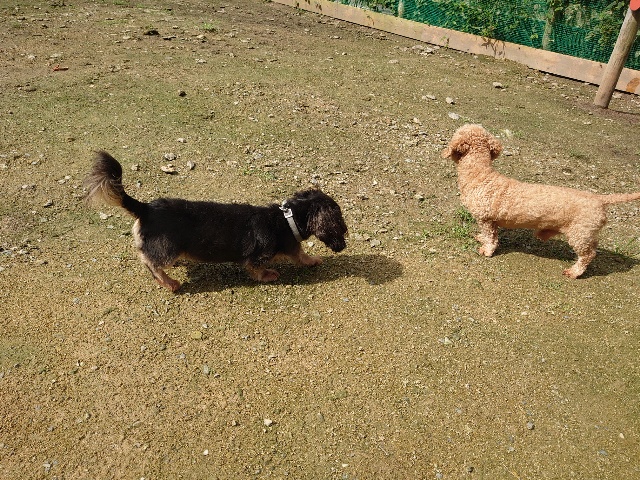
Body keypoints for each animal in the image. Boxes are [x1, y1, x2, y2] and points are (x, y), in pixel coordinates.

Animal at [84, 151, 348, 291]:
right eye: (341, 228)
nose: (344, 246)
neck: (286, 219)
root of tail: (146, 208)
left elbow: (300, 253)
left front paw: (312, 260)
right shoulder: (257, 257)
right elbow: (261, 267)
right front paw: (269, 275)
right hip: (166, 249)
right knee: (151, 263)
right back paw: (170, 282)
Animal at [442, 124, 640, 278]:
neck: (480, 174)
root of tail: (600, 198)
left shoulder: (486, 219)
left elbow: (491, 239)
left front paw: (486, 250)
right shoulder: (490, 222)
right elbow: (487, 235)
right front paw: (481, 239)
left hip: (579, 234)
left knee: (588, 255)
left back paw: (574, 272)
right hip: (586, 233)